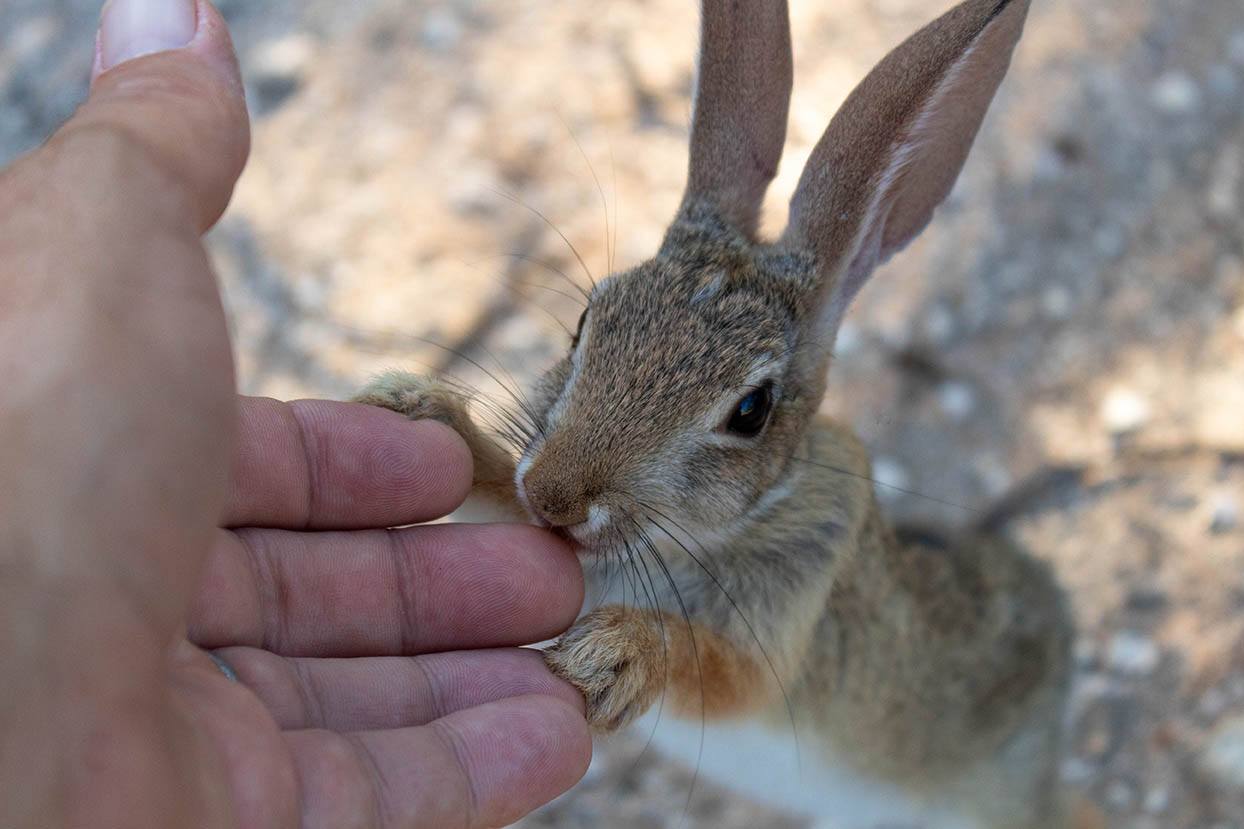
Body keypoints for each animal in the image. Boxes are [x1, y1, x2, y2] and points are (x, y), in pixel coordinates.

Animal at [355, 0, 1100, 826]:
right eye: (587, 320)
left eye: (751, 410)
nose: (554, 496)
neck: (719, 527)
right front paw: (417, 411)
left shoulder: (786, 622)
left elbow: (716, 667)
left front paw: (618, 654)